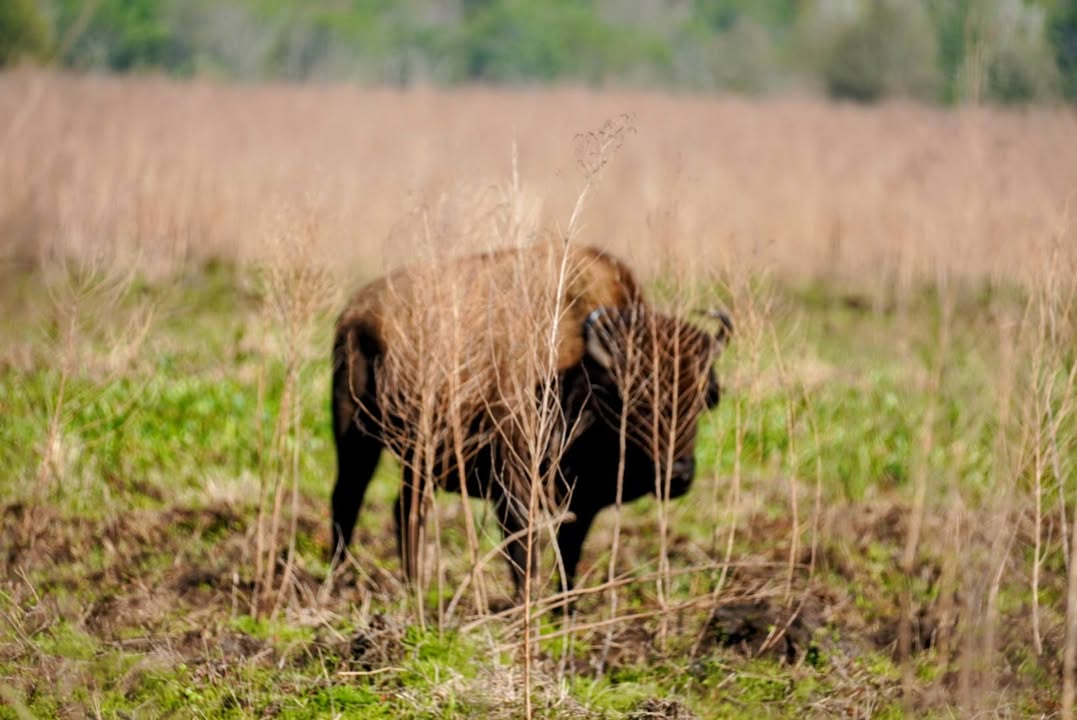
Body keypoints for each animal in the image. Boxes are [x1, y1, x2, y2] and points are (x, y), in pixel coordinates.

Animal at [330, 243, 730, 596]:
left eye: (704, 396)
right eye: (629, 399)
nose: (678, 474)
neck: (577, 370)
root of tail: (355, 311)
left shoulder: (582, 504)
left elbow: (568, 561)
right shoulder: (515, 489)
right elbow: (525, 555)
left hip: (417, 459)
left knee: (407, 511)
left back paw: (414, 589)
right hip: (355, 439)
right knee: (348, 499)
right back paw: (340, 582)